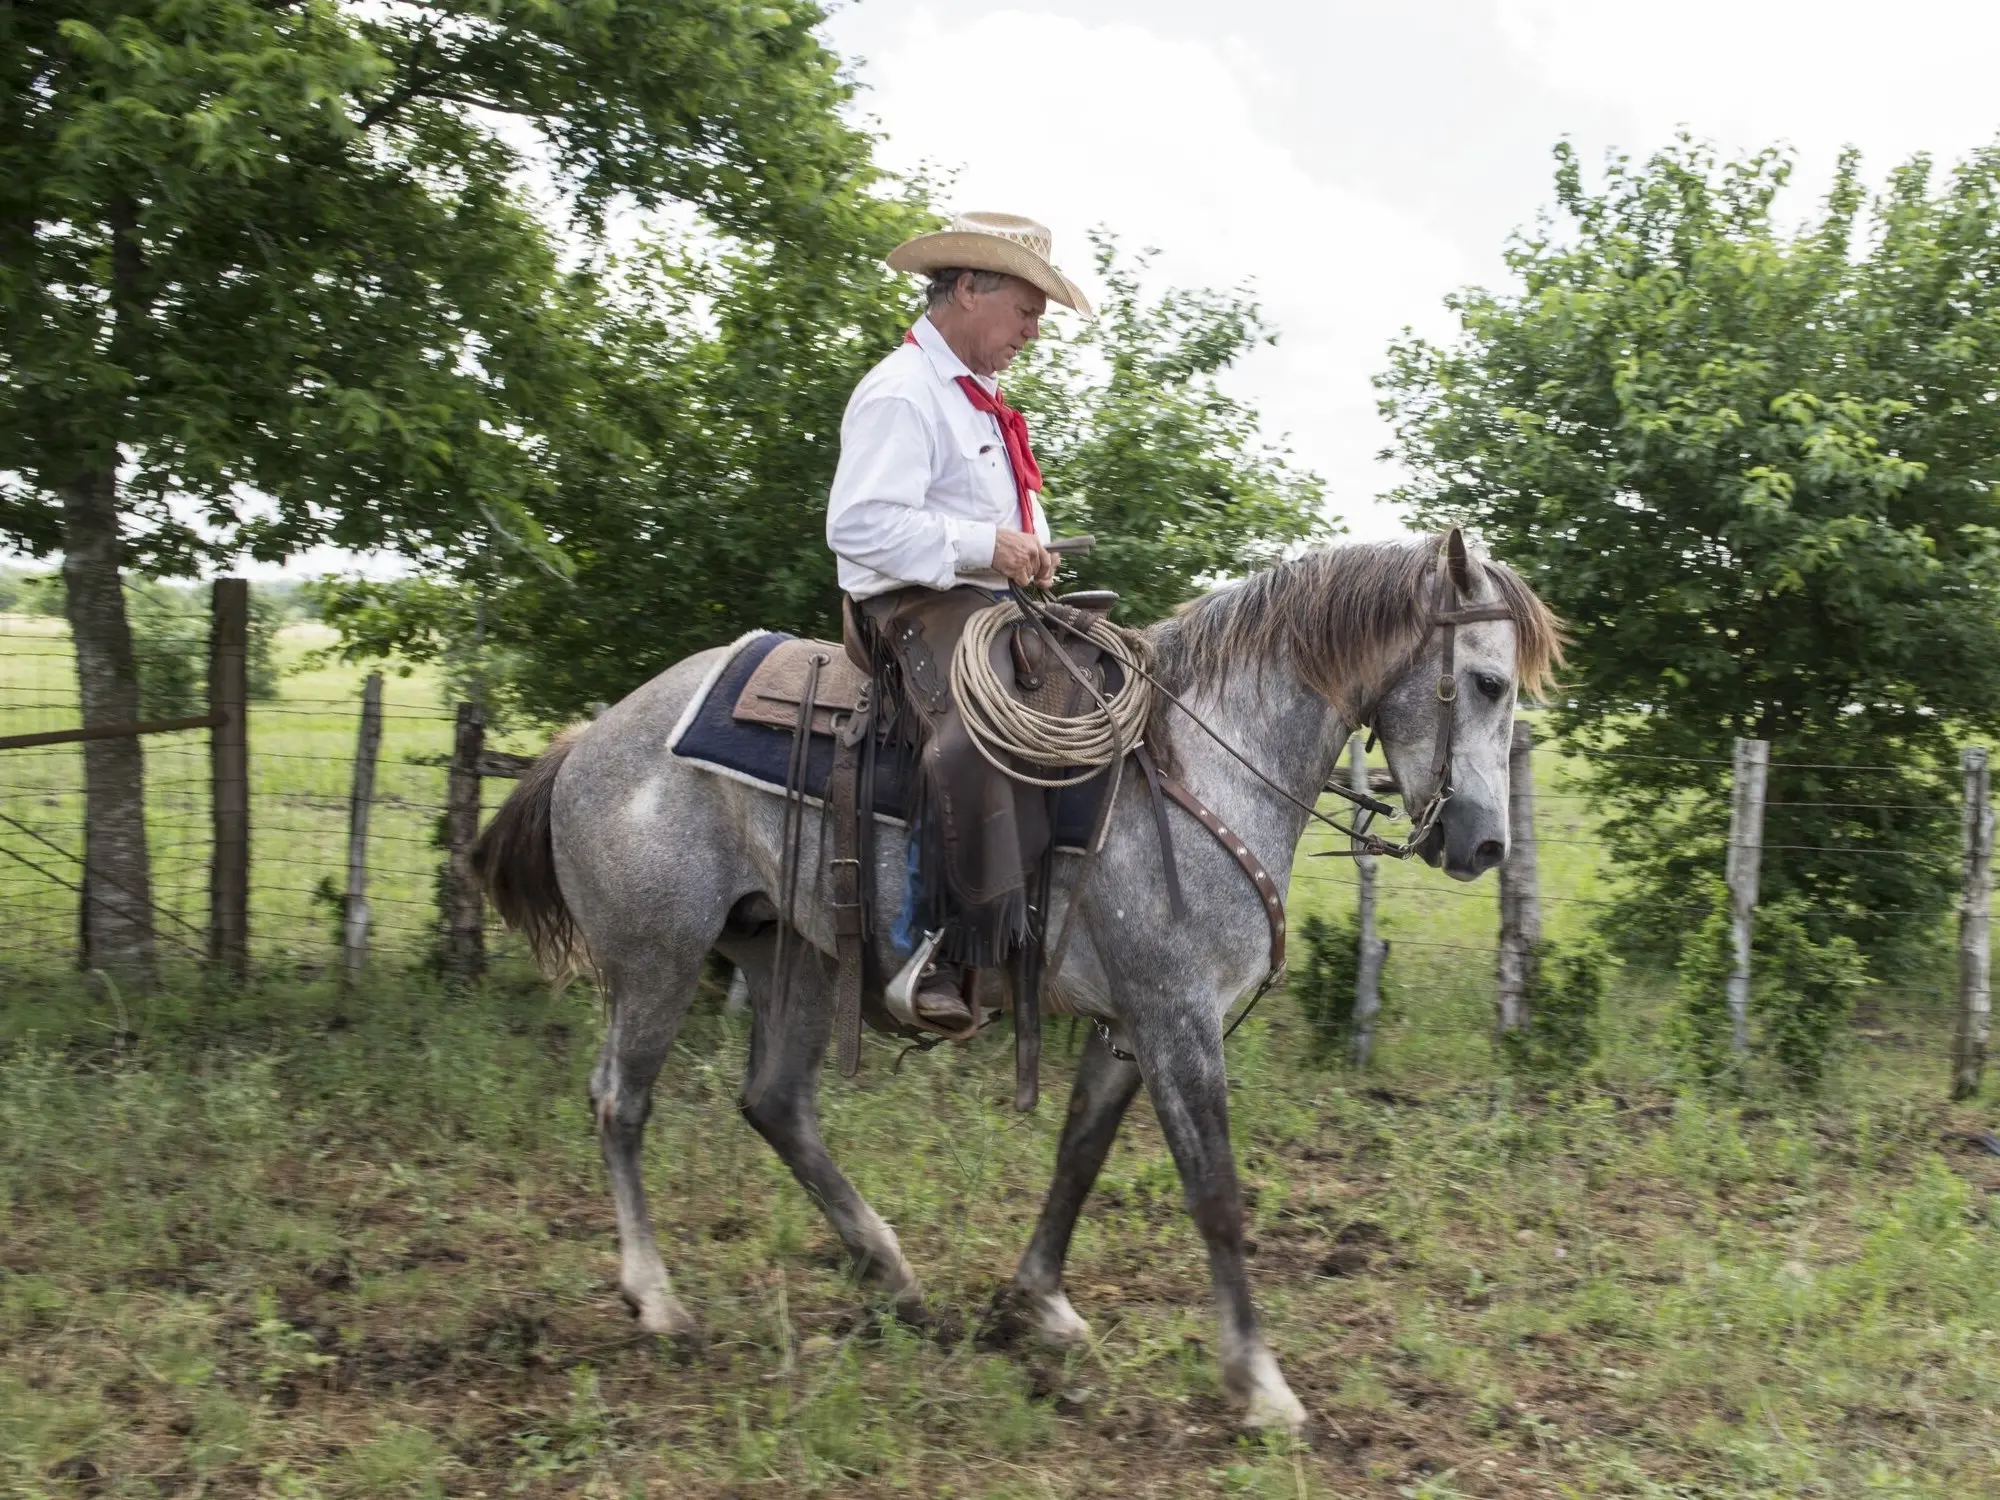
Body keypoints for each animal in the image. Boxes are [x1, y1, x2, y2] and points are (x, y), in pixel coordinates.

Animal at [472, 532, 1560, 1432]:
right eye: (1483, 682)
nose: (1483, 845)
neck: (1199, 762)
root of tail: (590, 739)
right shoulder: (1177, 1018)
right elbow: (1213, 1191)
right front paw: (1260, 1385)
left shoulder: (1133, 1025)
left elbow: (1077, 1157)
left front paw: (1036, 1304)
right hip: (655, 959)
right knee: (621, 1104)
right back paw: (658, 1300)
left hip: (794, 956)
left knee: (775, 1102)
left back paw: (892, 1274)